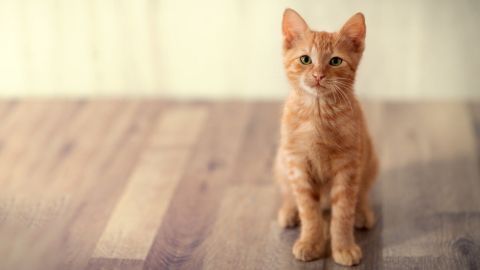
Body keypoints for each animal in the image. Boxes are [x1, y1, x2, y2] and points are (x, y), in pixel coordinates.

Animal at [274, 7, 378, 266]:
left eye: (335, 61)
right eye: (305, 59)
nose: (318, 75)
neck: (317, 113)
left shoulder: (348, 166)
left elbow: (343, 212)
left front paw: (343, 247)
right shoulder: (297, 163)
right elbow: (309, 211)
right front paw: (311, 242)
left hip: (370, 159)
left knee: (362, 192)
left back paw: (362, 212)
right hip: (281, 161)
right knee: (288, 192)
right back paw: (288, 211)